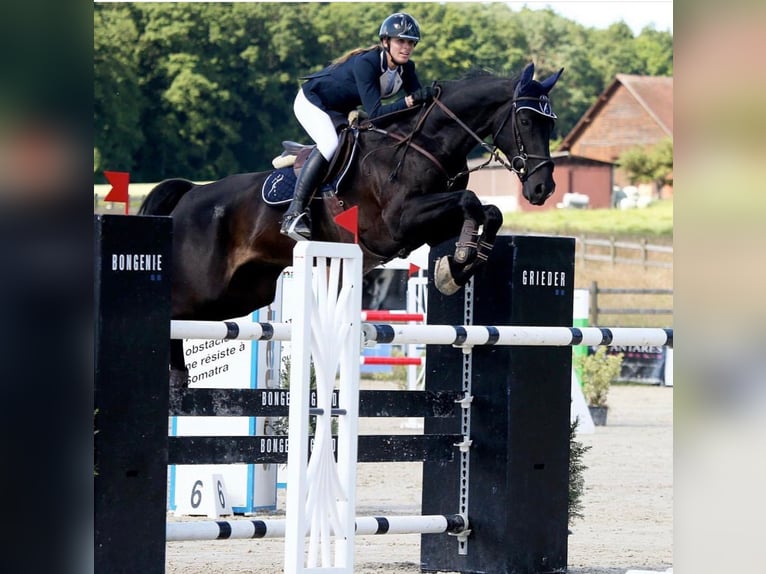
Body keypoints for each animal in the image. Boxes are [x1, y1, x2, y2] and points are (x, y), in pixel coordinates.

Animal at [140, 60, 564, 384]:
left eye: (551, 123)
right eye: (526, 121)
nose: (542, 188)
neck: (425, 143)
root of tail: (190, 194)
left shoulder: (424, 225)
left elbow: (488, 211)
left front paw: (457, 266)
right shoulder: (398, 222)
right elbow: (470, 201)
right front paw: (457, 262)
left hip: (241, 293)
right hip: (205, 286)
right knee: (173, 313)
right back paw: (175, 378)